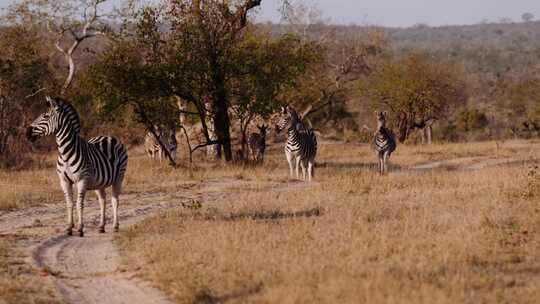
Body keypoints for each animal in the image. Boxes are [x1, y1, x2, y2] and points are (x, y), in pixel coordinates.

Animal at [27, 96, 129, 236]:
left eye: (45, 116)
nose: (27, 133)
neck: (65, 153)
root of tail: (109, 136)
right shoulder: (64, 181)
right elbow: (69, 204)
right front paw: (69, 228)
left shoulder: (82, 180)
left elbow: (79, 204)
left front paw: (80, 228)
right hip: (100, 182)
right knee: (102, 200)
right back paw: (101, 226)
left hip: (119, 176)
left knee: (115, 200)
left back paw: (115, 226)